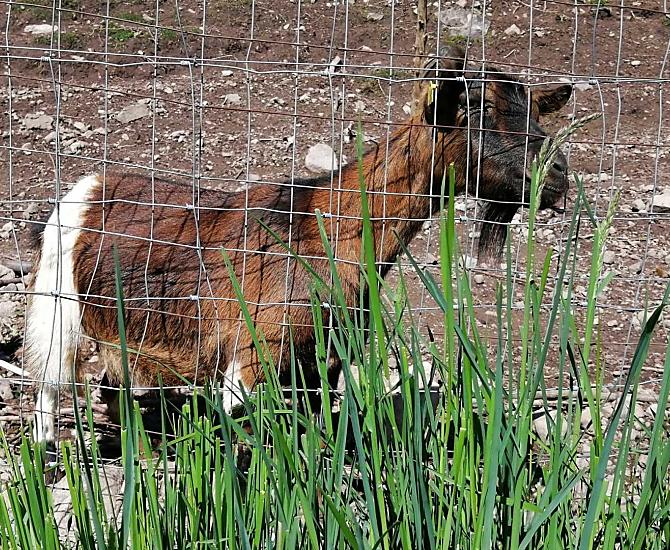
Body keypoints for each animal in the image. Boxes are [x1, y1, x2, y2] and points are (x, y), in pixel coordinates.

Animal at [25, 48, 572, 445]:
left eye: (533, 112)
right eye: (479, 111)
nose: (558, 176)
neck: (327, 227)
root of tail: (83, 191)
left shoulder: (321, 358)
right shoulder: (253, 353)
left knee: (110, 384)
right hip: (59, 306)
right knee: (51, 381)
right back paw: (48, 452)